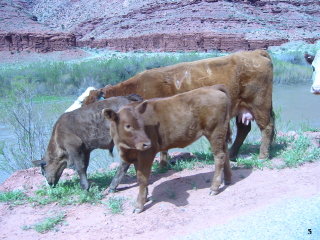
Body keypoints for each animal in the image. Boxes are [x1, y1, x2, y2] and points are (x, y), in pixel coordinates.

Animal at [84, 49, 276, 161]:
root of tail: (256, 52)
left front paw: (163, 164)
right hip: (243, 109)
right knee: (244, 129)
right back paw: (234, 154)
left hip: (259, 105)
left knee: (266, 127)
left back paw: (262, 156)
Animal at [105, 85, 232, 213]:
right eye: (128, 126)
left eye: (142, 124)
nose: (147, 143)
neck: (125, 148)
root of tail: (213, 87)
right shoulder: (136, 156)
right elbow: (139, 177)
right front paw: (145, 197)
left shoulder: (146, 154)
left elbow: (142, 179)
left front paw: (139, 205)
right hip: (221, 132)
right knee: (225, 153)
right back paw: (228, 179)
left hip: (215, 131)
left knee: (219, 156)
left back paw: (214, 187)